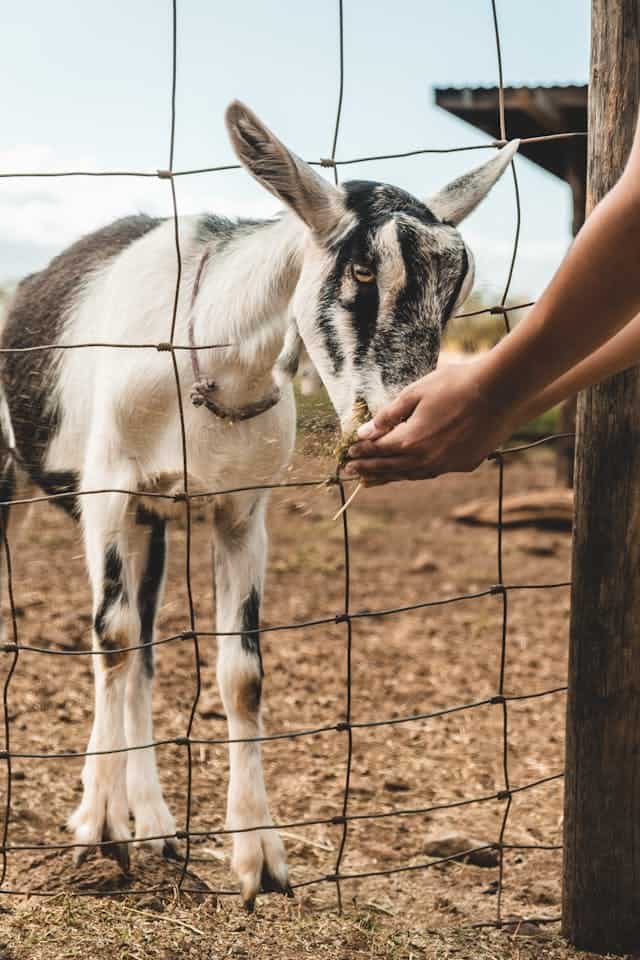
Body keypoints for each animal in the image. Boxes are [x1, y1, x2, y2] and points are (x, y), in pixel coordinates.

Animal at [0, 105, 516, 908]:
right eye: (362, 270)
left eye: (455, 290)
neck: (209, 356)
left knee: (143, 653)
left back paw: (153, 821)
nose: (404, 417)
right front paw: (98, 830)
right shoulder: (108, 491)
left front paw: (259, 860)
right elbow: (110, 639)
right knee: (115, 641)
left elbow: (239, 675)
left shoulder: (242, 514)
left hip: (153, 523)